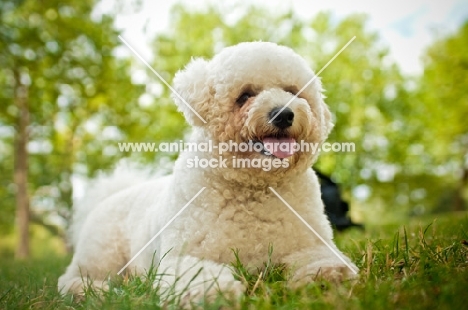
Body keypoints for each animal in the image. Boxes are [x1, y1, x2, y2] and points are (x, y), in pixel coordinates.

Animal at [58, 41, 358, 302]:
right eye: (245, 96)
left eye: (294, 92)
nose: (283, 114)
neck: (256, 189)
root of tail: (110, 194)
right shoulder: (182, 256)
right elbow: (200, 275)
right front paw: (213, 293)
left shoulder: (310, 244)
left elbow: (319, 259)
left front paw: (330, 277)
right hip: (100, 255)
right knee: (71, 279)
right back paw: (90, 291)